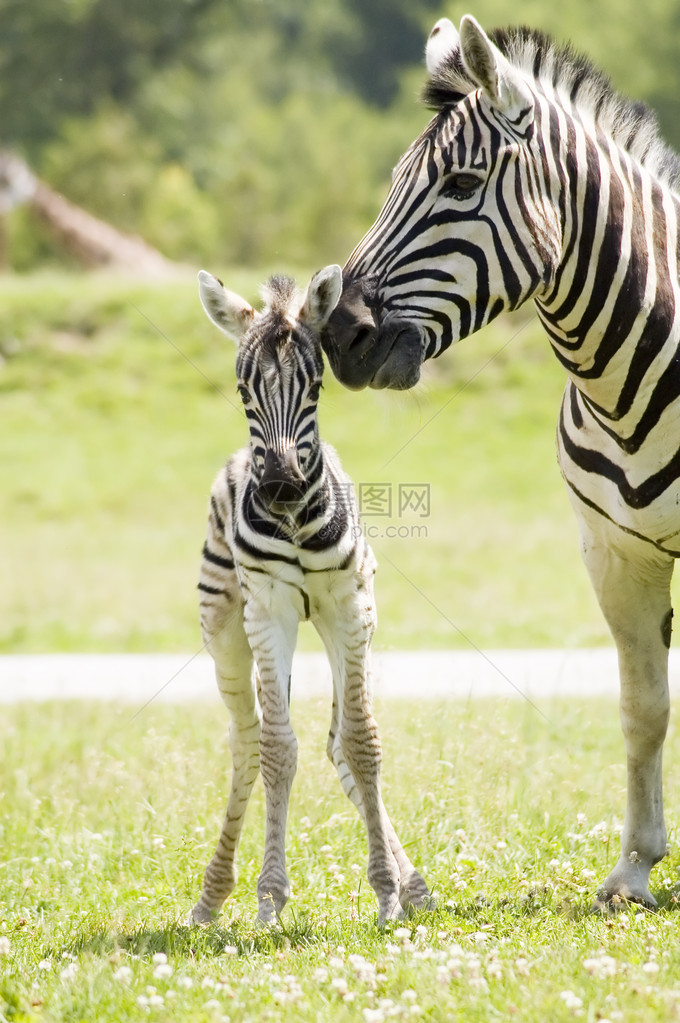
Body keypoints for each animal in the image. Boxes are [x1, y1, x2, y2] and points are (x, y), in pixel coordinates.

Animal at [188, 263, 427, 928]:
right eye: (243, 390)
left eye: (315, 387)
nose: (281, 487)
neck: (295, 522)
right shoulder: (269, 612)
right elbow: (276, 748)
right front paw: (270, 897)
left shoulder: (350, 607)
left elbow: (361, 741)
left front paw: (388, 892)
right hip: (225, 629)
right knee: (247, 739)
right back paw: (213, 893)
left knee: (335, 739)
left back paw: (411, 882)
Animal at [321, 14, 678, 912]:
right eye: (393, 181)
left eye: (461, 184)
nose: (337, 334)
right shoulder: (614, 551)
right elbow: (643, 706)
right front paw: (634, 869)